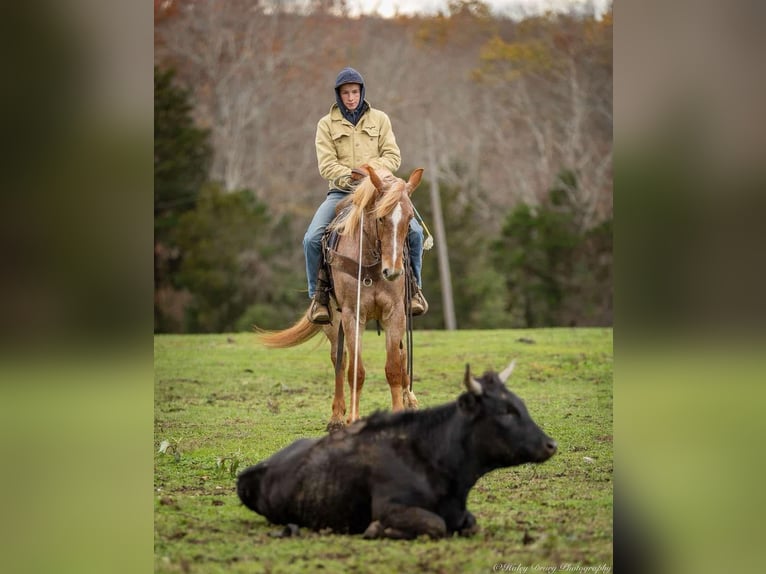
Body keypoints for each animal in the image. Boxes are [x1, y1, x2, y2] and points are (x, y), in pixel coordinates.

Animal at [237, 362, 556, 544]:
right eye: (505, 411)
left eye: (520, 403)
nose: (550, 444)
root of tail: (249, 472)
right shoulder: (391, 507)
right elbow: (435, 524)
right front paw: (378, 531)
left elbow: (469, 524)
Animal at [260, 165, 426, 432]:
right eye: (380, 217)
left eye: (409, 218)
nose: (393, 272)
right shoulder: (352, 315)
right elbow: (355, 371)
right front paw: (353, 419)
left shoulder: (395, 313)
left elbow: (393, 367)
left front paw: (401, 410)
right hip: (332, 322)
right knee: (339, 359)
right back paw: (337, 417)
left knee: (401, 356)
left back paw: (409, 401)